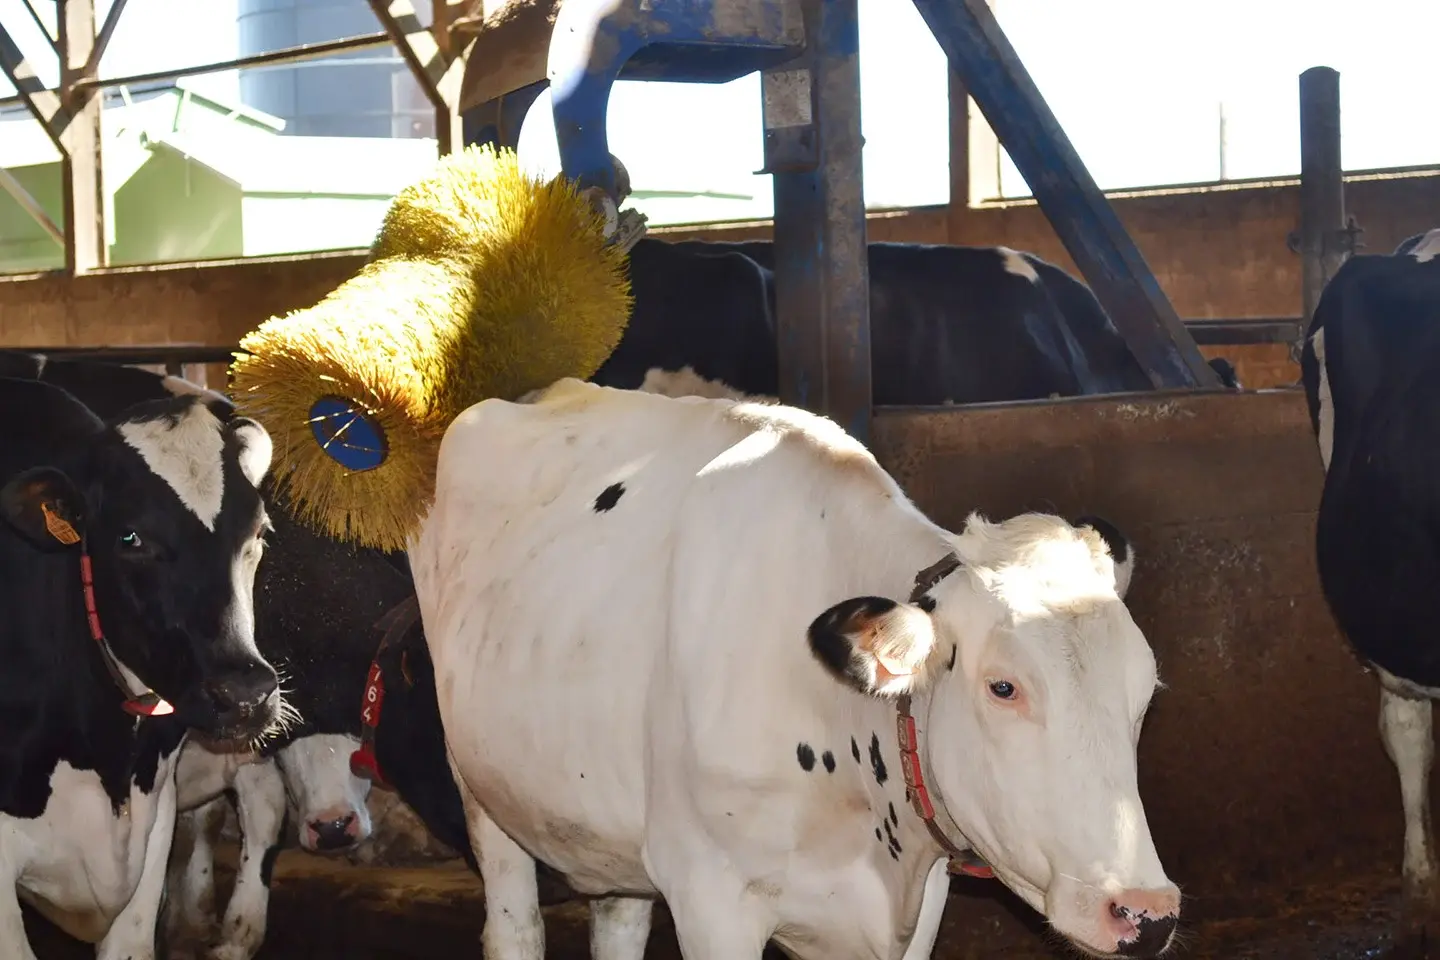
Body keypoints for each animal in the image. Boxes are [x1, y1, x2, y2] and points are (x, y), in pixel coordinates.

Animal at [410, 378, 1179, 960]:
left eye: (1143, 696)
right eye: (1003, 687)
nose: (1144, 912)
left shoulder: (918, 903)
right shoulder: (711, 896)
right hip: (479, 783)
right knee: (514, 926)